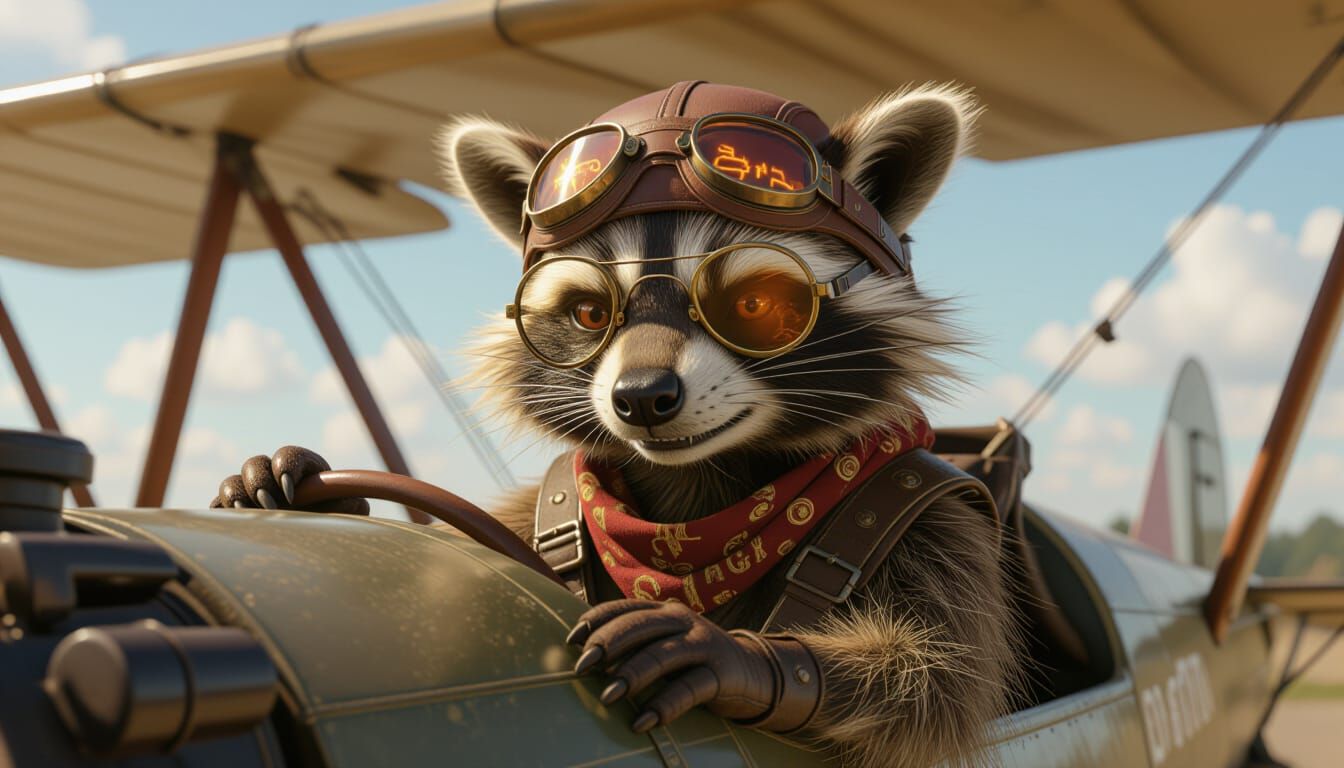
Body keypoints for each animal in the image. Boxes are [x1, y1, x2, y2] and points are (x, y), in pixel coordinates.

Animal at [216, 84, 1021, 768]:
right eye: (588, 312)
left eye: (753, 306)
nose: (640, 397)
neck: (697, 490)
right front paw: (319, 493)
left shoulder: (931, 514)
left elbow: (931, 675)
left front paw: (744, 656)